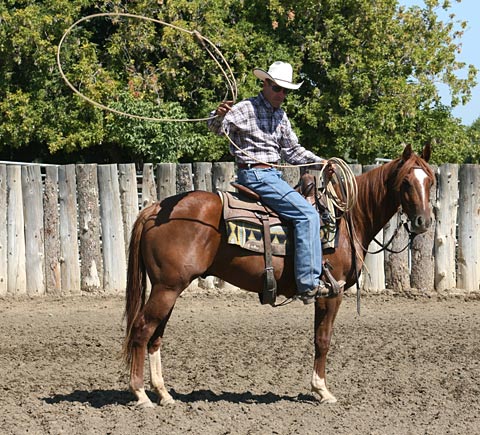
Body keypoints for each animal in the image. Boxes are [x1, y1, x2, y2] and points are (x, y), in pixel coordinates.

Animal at [123, 145, 436, 408]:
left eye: (430, 181)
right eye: (406, 182)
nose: (423, 221)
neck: (346, 220)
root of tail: (153, 209)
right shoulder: (331, 292)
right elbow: (323, 340)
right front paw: (322, 391)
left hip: (169, 288)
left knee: (155, 337)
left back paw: (164, 394)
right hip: (167, 288)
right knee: (141, 329)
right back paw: (141, 395)